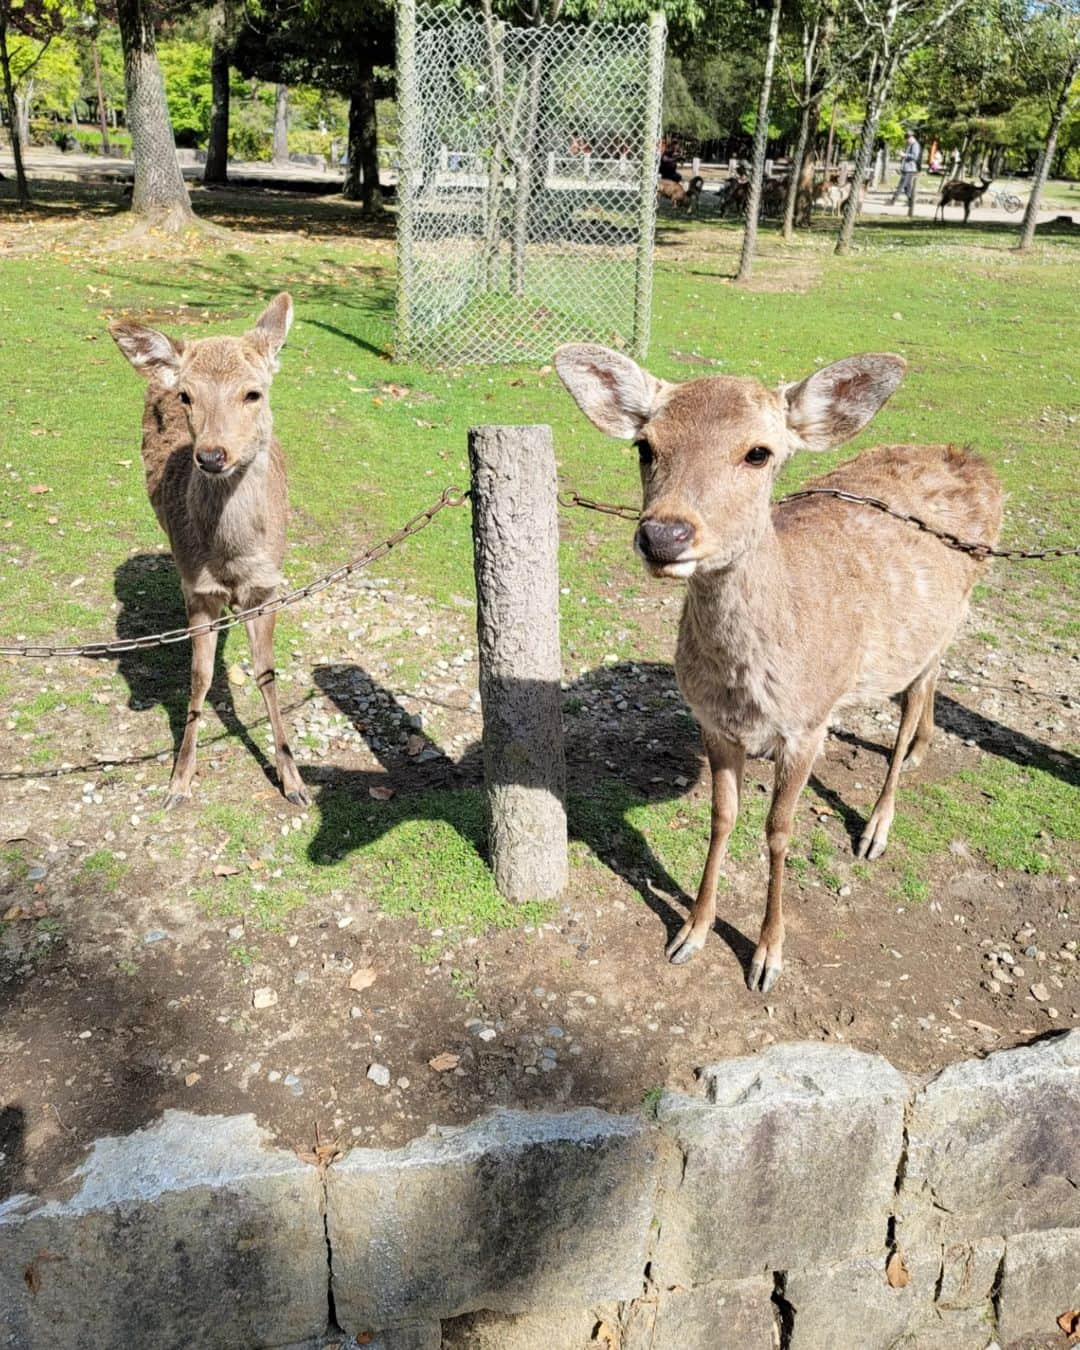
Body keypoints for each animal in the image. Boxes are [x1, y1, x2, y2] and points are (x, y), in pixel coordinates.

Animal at [107, 292, 310, 799]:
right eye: (187, 396)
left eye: (253, 393)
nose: (213, 455)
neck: (232, 560)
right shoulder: (198, 590)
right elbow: (199, 676)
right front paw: (180, 778)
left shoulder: (267, 586)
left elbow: (267, 672)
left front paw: (293, 779)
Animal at [556, 340, 1004, 993]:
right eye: (645, 445)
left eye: (758, 452)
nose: (664, 535)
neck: (751, 687)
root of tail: (976, 462)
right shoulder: (712, 723)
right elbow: (722, 817)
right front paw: (690, 933)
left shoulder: (808, 724)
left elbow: (778, 831)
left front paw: (767, 956)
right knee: (926, 685)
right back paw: (922, 749)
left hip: (952, 614)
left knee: (914, 698)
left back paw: (877, 825)